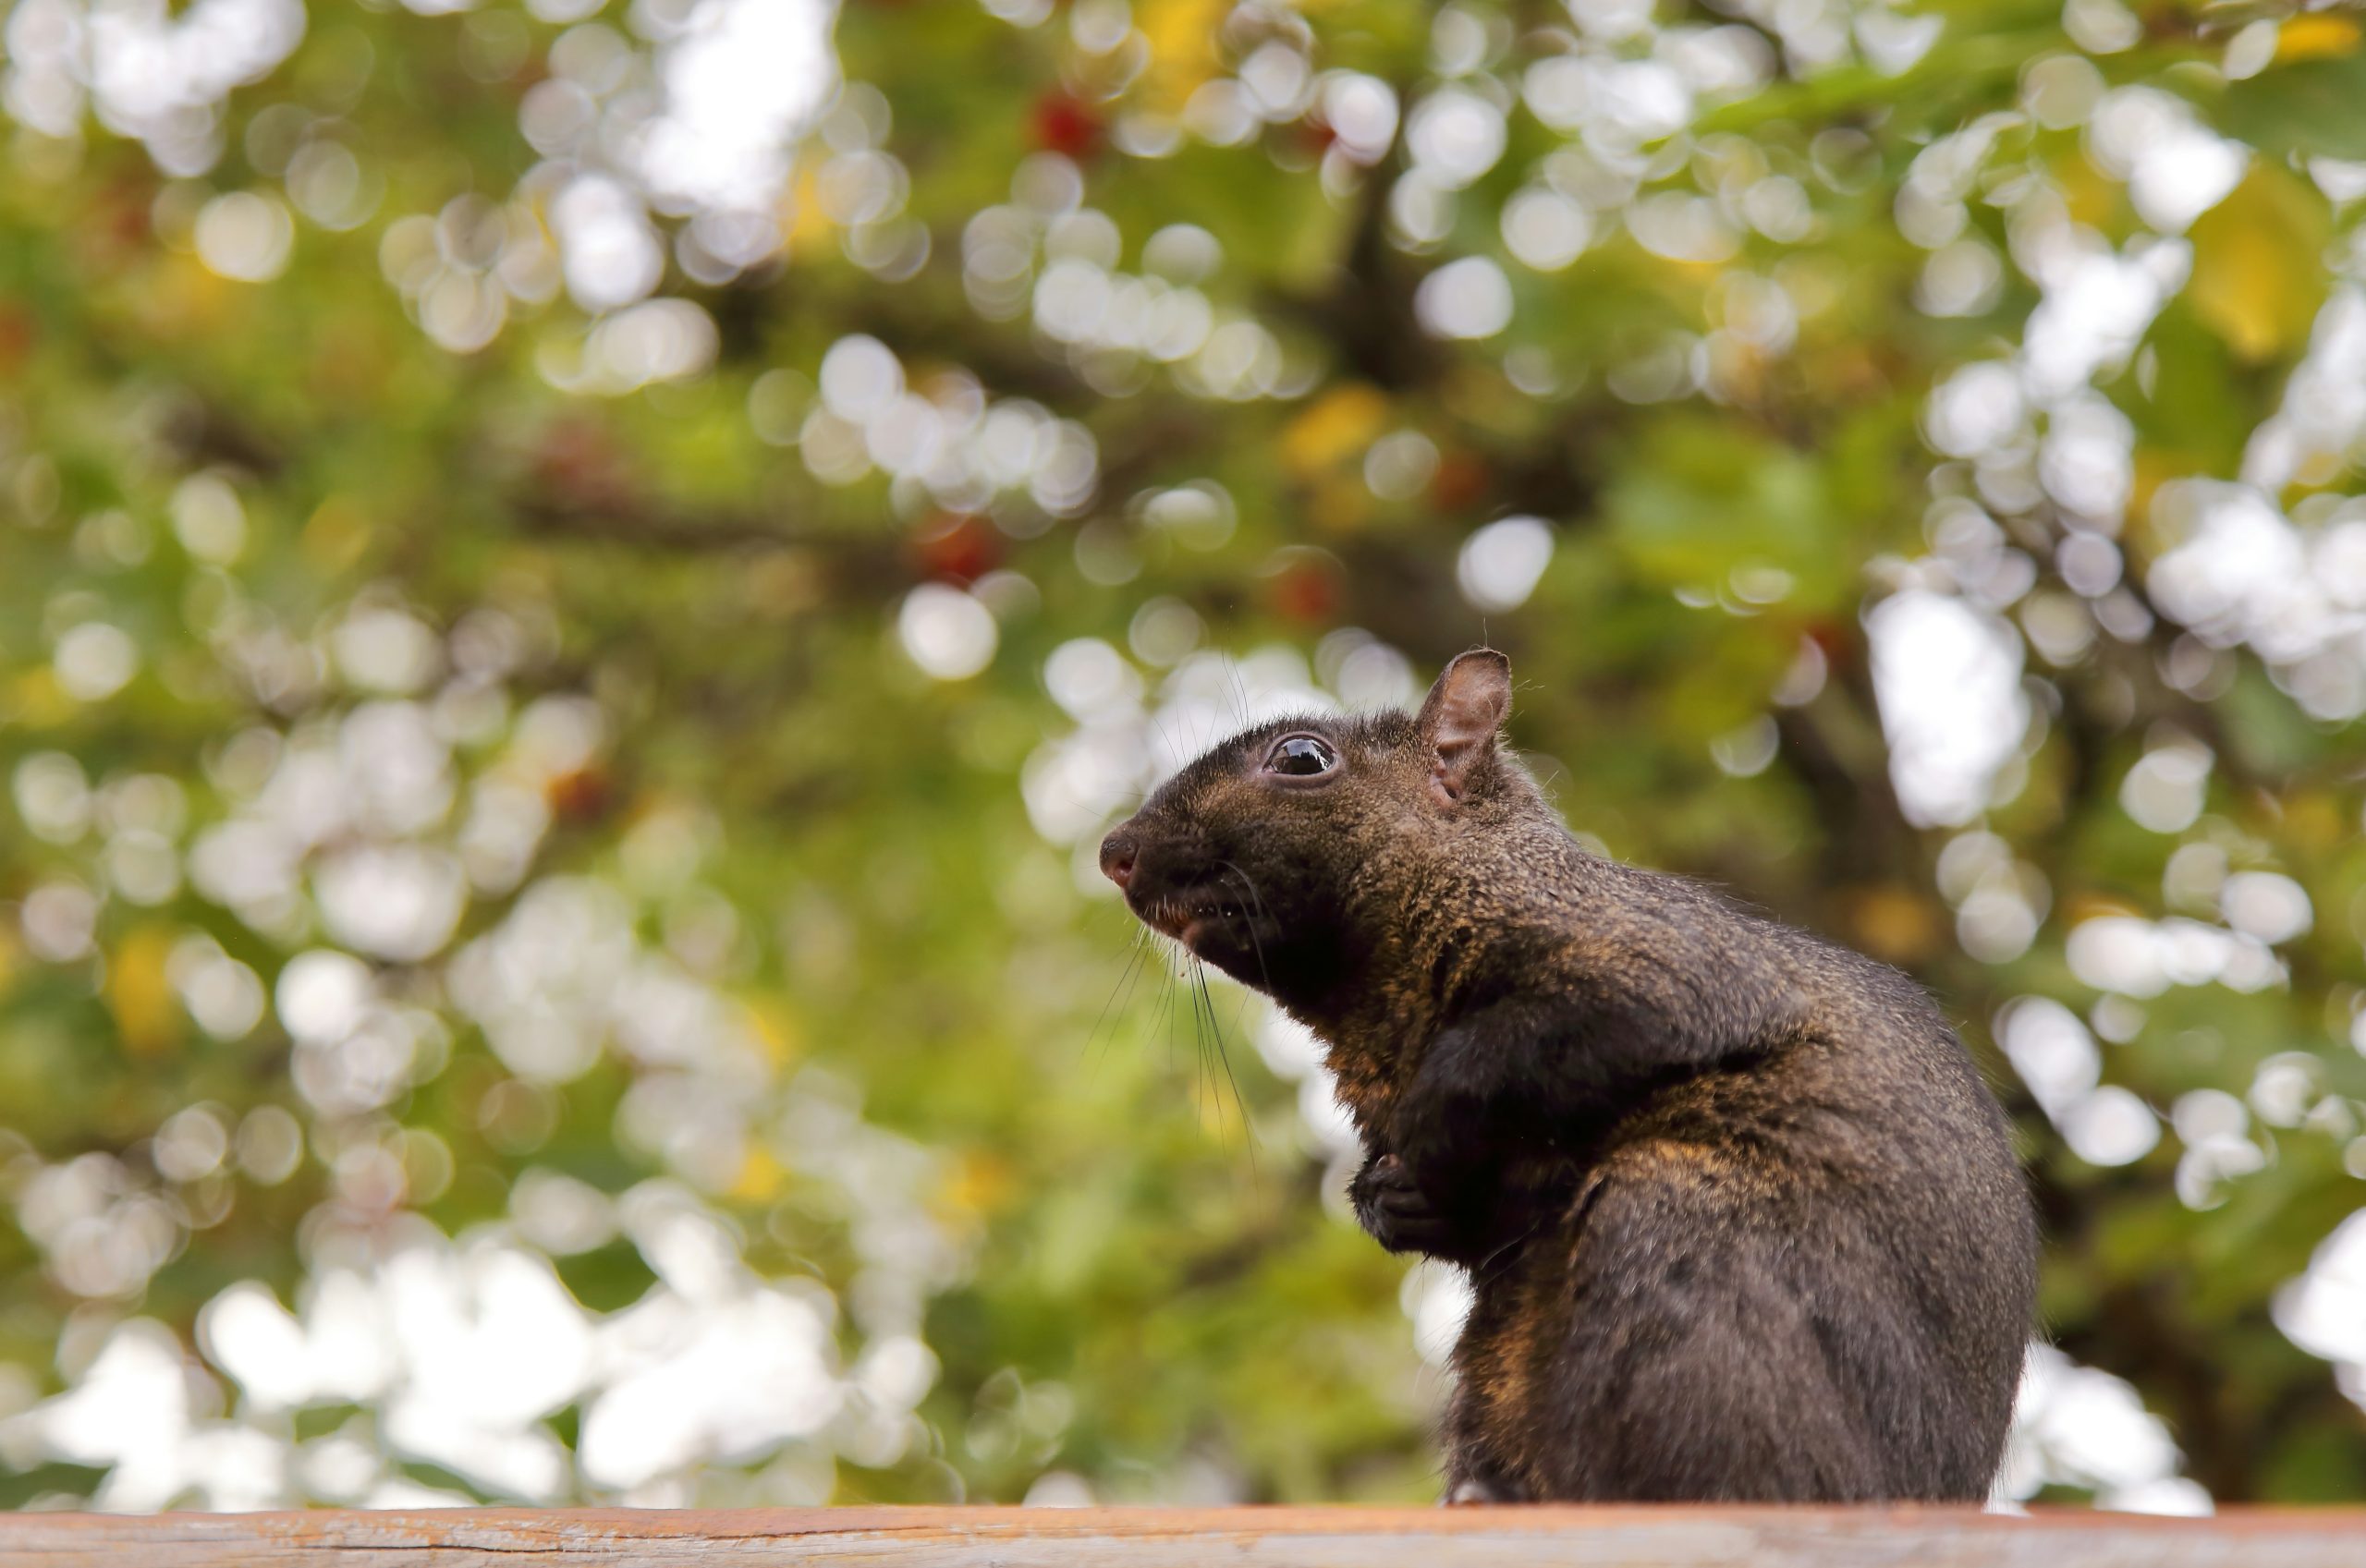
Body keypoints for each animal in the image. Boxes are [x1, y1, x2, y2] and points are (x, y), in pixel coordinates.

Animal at [1098, 649, 2037, 1503]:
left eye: (1301, 758)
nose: (1116, 851)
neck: (1375, 1008)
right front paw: (1389, 1196)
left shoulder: (1661, 966)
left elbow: (1539, 1042)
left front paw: (1429, 1123)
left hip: (1684, 1248)